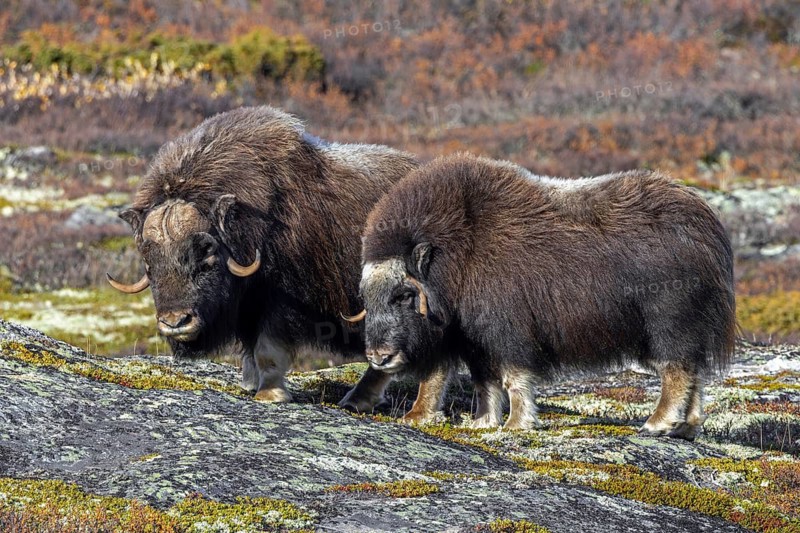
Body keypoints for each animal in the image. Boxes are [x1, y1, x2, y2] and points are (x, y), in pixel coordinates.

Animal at [106, 105, 438, 416]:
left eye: (206, 252)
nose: (175, 322)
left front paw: (270, 395)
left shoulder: (279, 302)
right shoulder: (247, 308)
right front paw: (251, 384)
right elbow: (249, 352)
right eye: (148, 258)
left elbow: (267, 349)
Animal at [345, 153, 736, 439]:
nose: (378, 357)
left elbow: (514, 378)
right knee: (695, 373)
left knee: (677, 370)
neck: (458, 257)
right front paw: (482, 422)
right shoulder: (475, 341)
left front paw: (517, 424)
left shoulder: (508, 332)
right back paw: (685, 428)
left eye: (403, 295)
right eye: (365, 296)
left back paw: (657, 423)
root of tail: (707, 223)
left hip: (669, 324)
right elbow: (484, 382)